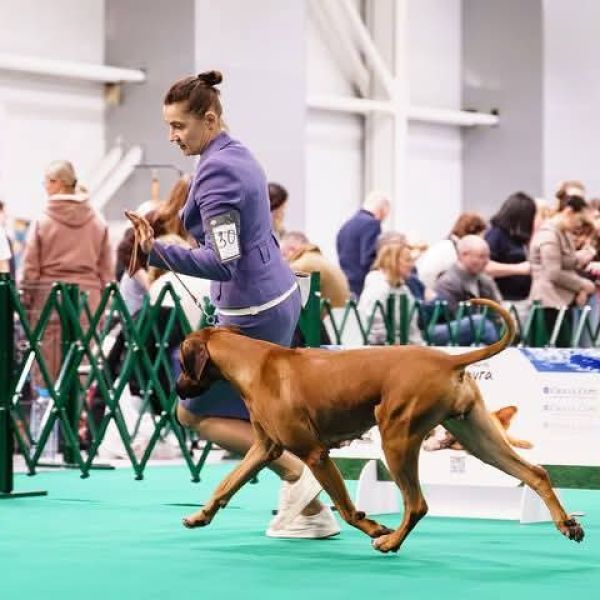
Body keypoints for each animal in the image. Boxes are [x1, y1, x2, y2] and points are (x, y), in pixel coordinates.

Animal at [175, 298, 583, 553]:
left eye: (180, 361)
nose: (177, 389)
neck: (256, 363)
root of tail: (449, 361)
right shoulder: (264, 448)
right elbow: (225, 486)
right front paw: (200, 516)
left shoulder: (315, 453)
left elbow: (347, 507)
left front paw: (373, 527)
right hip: (478, 439)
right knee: (536, 473)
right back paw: (567, 523)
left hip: (396, 440)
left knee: (417, 504)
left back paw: (390, 542)